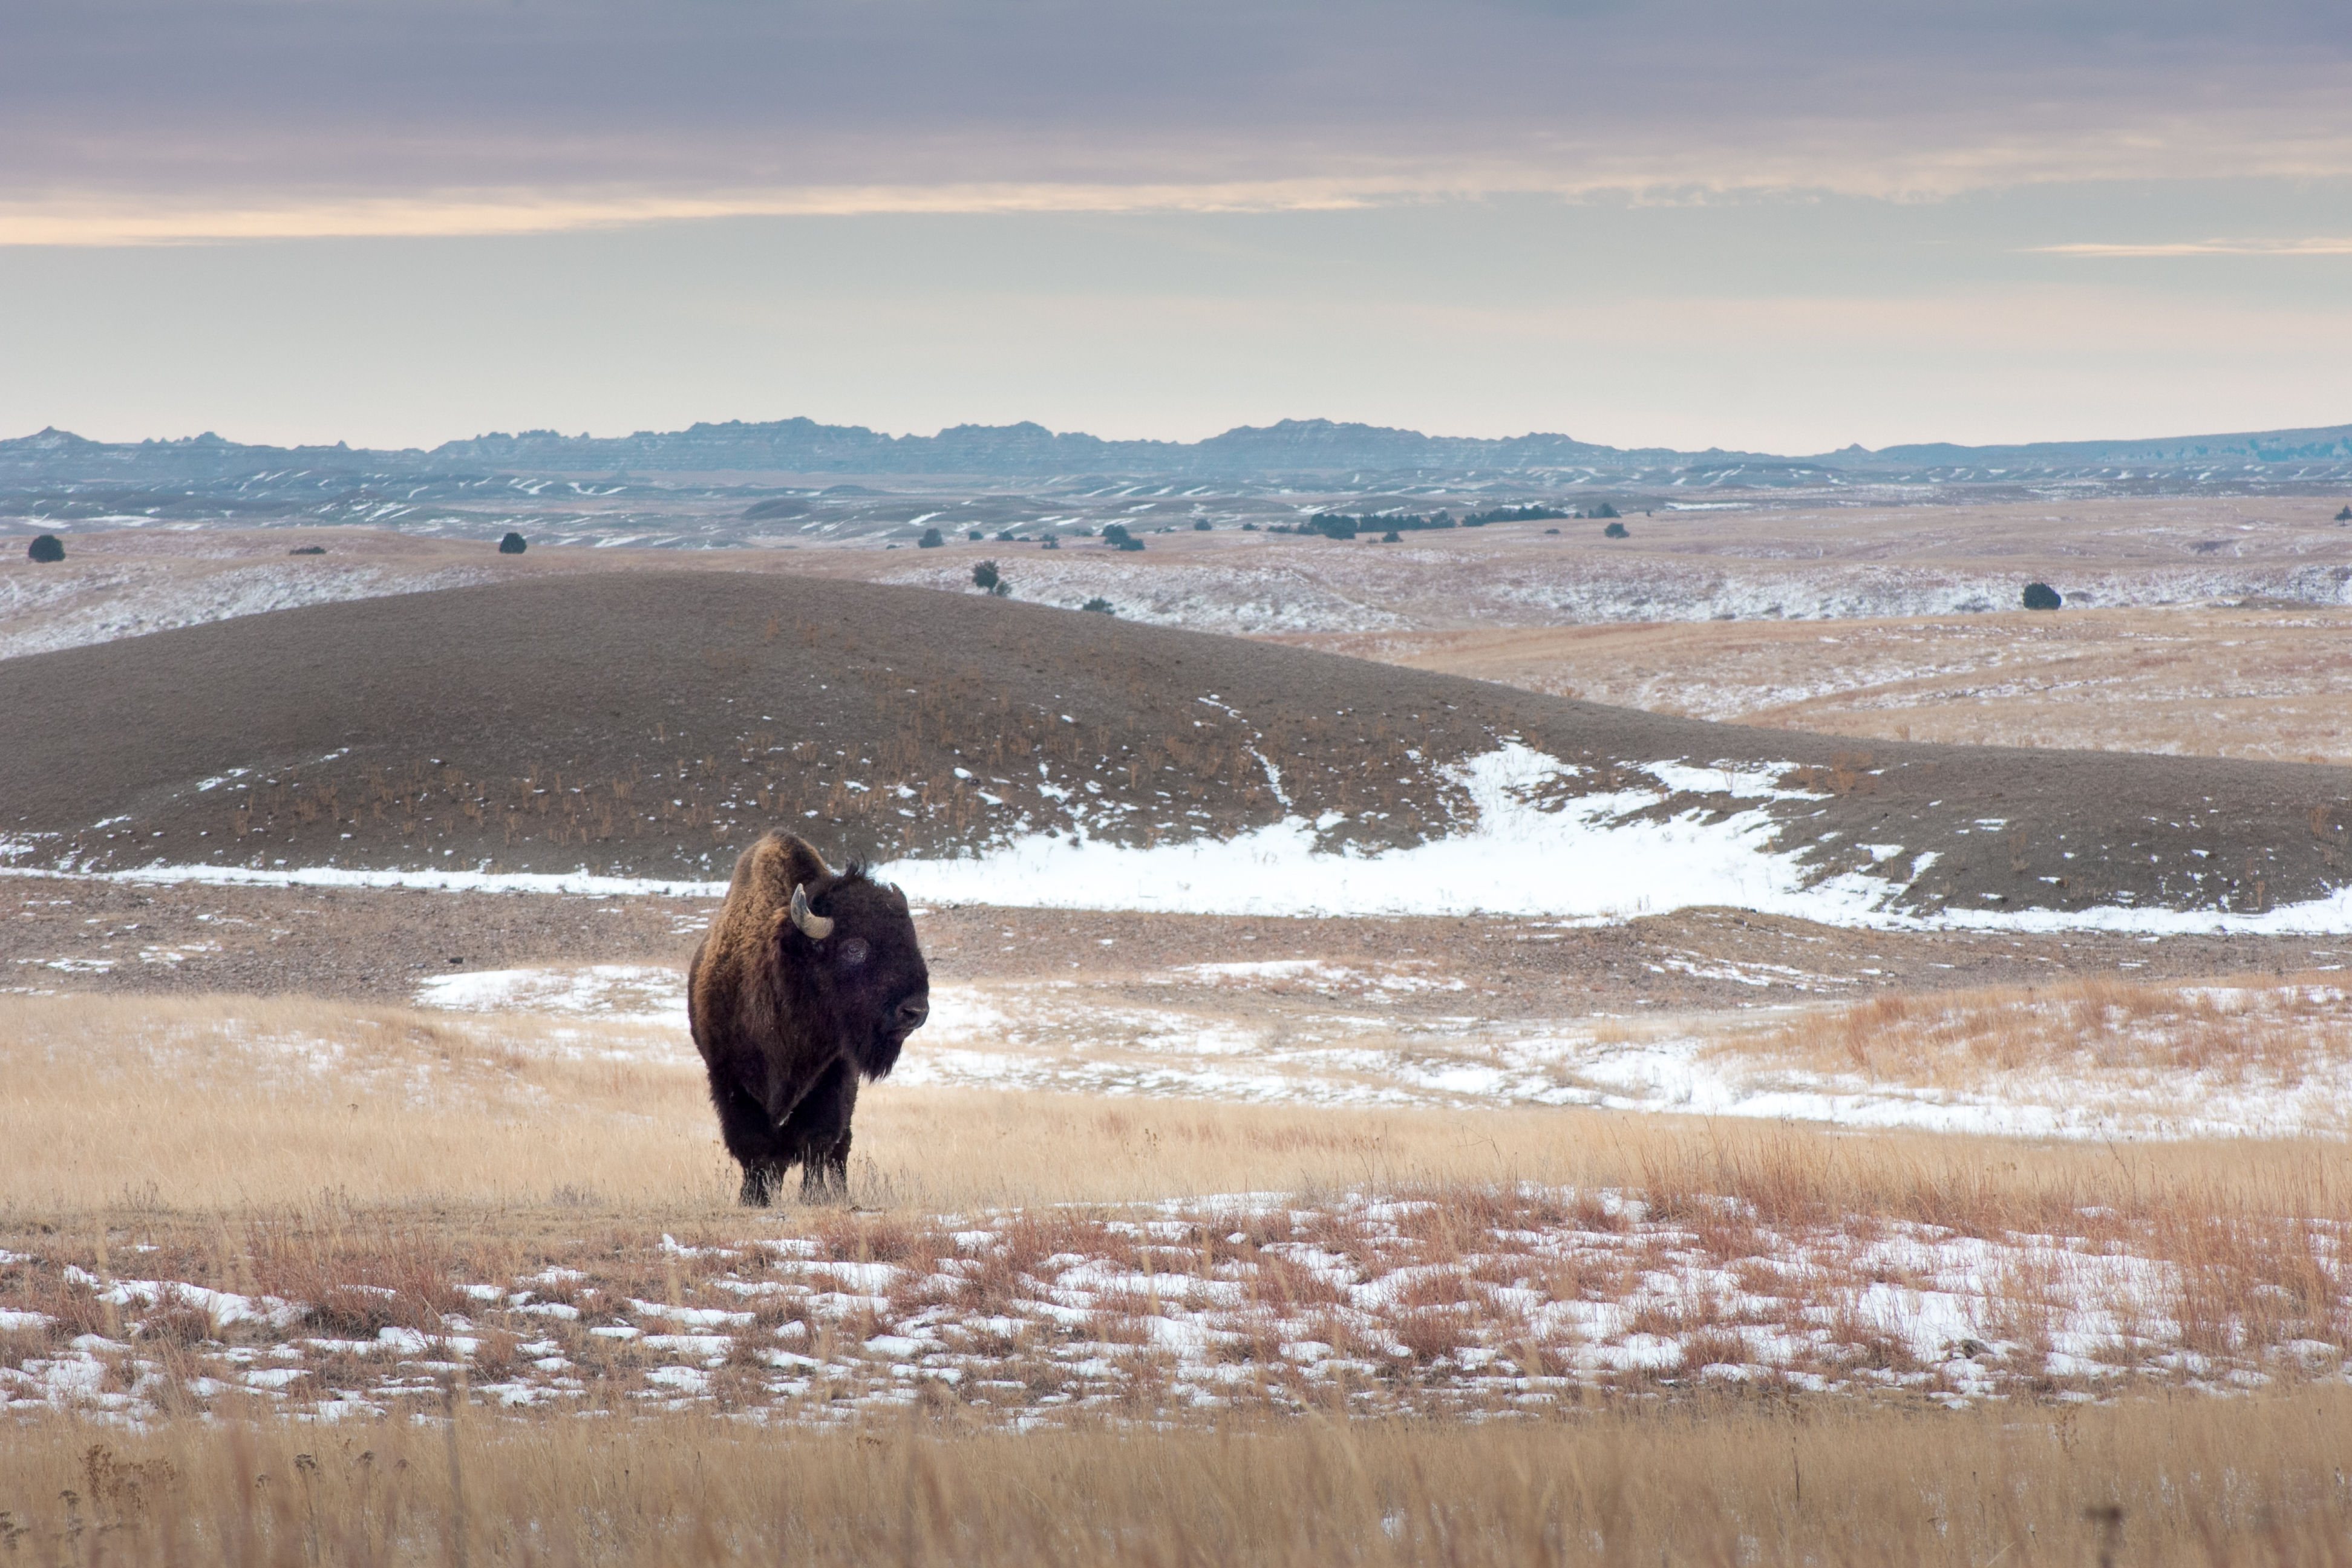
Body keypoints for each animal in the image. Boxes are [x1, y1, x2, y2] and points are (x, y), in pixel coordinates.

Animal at [688, 831, 930, 1204]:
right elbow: (753, 1146)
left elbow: (816, 1141)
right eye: (854, 948)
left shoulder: (834, 1076)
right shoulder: (728, 1078)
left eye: (910, 940)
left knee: (839, 1149)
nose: (915, 1011)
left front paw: (814, 1197)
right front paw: (754, 1199)